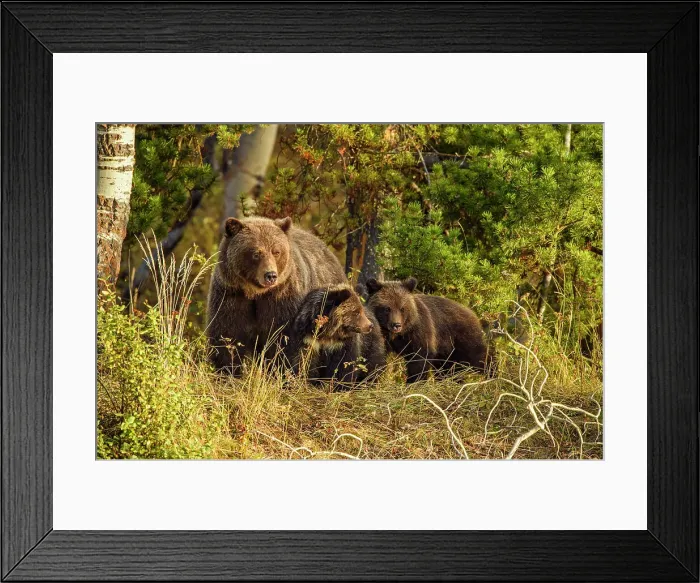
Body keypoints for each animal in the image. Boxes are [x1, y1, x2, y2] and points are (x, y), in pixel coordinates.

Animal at [206, 216, 346, 374]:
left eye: (276, 252)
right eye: (256, 253)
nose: (271, 275)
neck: (256, 293)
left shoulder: (282, 298)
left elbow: (283, 339)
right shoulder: (231, 295)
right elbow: (228, 335)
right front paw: (228, 370)